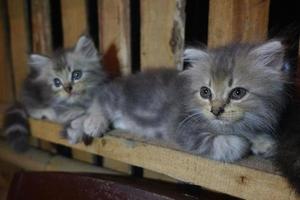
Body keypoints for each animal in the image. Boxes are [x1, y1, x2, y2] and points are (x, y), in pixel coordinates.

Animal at [71, 39, 290, 162]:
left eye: (238, 93)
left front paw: (262, 141)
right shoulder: (183, 129)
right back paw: (93, 122)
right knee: (100, 99)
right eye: (205, 92)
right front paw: (245, 142)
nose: (216, 110)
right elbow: (230, 144)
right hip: (116, 95)